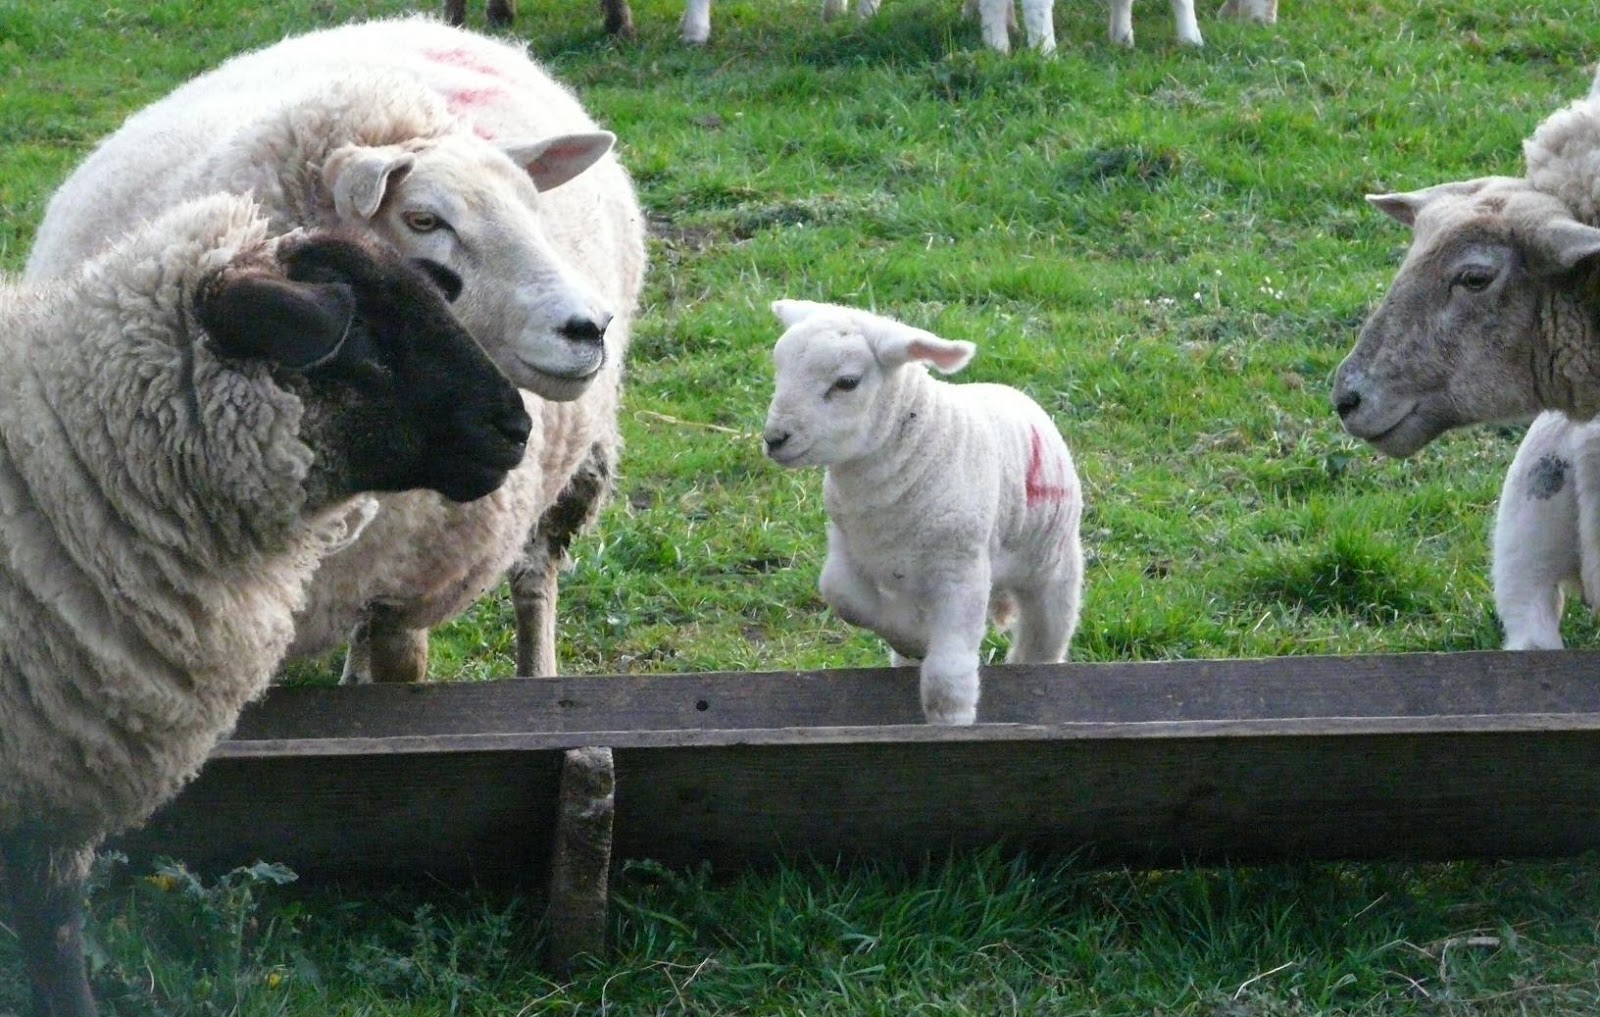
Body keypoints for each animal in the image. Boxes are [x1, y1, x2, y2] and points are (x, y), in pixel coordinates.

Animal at [27, 17, 647, 684]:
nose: (589, 327)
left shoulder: (407, 592)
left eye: (535, 209)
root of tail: (425, 24)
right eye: (424, 220)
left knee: (534, 579)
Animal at [761, 300, 1084, 726]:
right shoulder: (847, 546)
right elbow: (843, 595)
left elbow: (946, 676)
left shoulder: (961, 567)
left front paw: (951, 718)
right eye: (779, 368)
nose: (775, 439)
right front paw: (914, 638)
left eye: (846, 382)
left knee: (1043, 643)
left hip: (1053, 568)